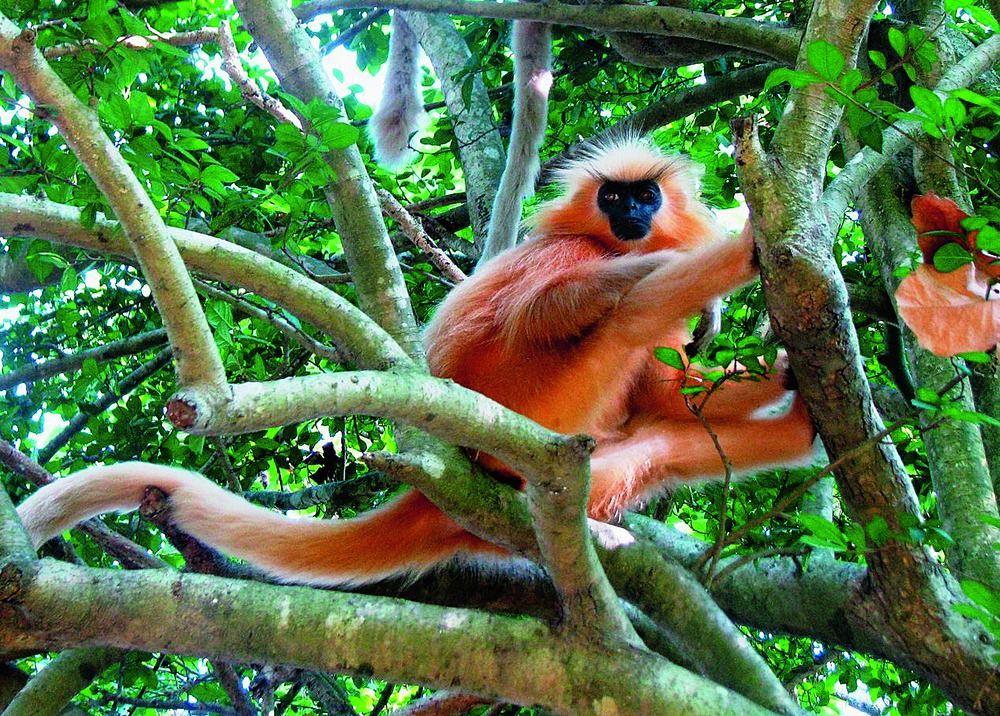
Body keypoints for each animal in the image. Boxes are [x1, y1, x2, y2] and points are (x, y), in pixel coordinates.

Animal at [16, 138, 816, 586]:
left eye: (645, 194)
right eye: (615, 197)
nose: (633, 216)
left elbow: (668, 400)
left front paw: (781, 371)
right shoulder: (569, 255)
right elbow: (551, 310)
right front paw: (734, 250)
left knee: (667, 442)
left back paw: (802, 425)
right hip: (528, 397)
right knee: (623, 318)